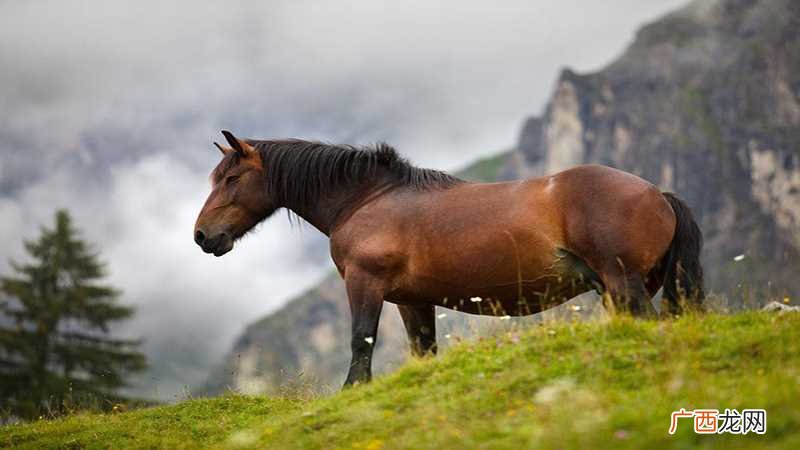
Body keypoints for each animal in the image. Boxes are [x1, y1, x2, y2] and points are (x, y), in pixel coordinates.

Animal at [194, 130, 704, 386]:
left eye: (232, 178)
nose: (203, 236)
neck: (367, 200)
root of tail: (657, 193)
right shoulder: (412, 301)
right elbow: (423, 352)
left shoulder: (365, 285)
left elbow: (361, 342)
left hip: (623, 285)